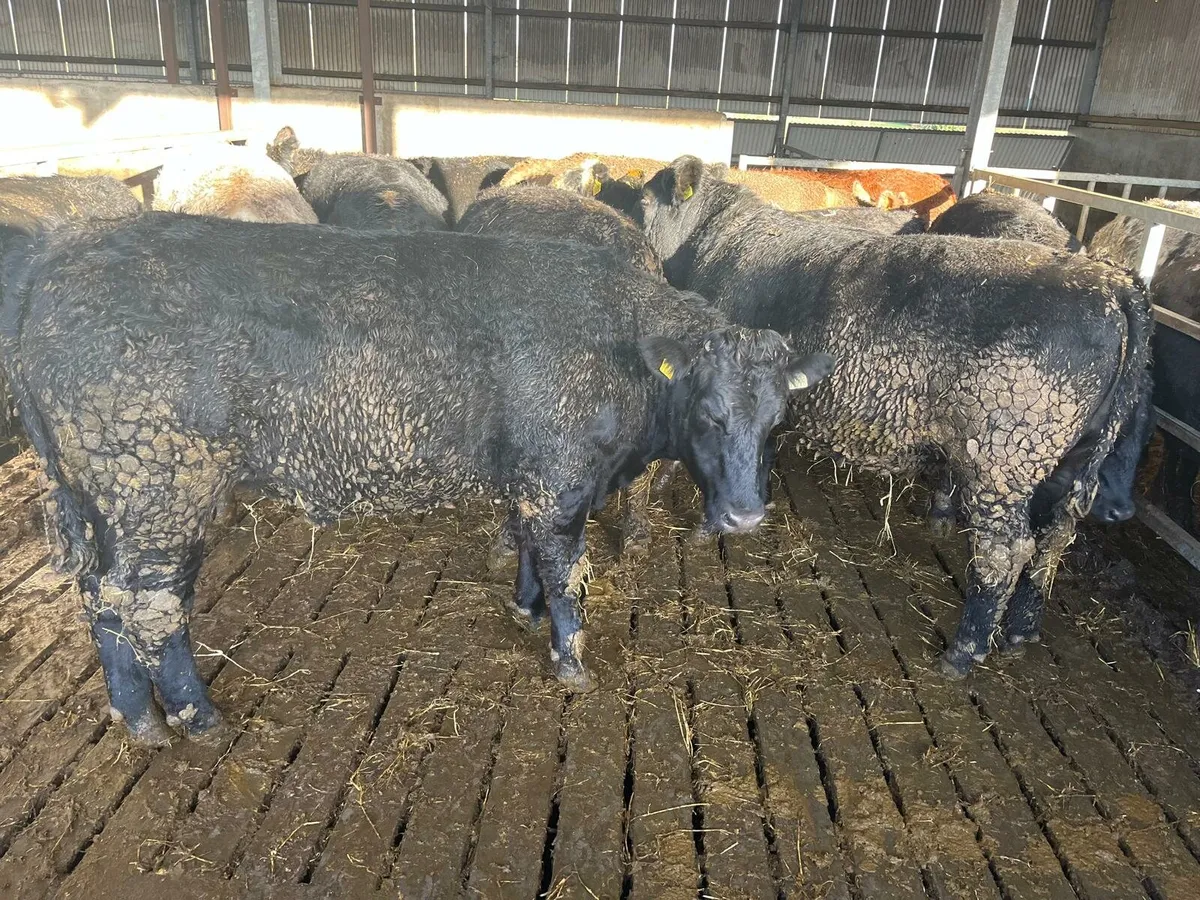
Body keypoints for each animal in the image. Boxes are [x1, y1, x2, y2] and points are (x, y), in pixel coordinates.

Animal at [0, 213, 832, 744]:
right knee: (147, 606)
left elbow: (528, 548)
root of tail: (58, 261)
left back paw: (137, 719)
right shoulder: (560, 477)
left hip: (109, 498)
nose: (746, 518)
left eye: (776, 421)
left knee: (101, 600)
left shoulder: (529, 475)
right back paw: (195, 719)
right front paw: (570, 661)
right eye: (710, 415)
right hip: (161, 488)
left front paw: (524, 609)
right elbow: (567, 569)